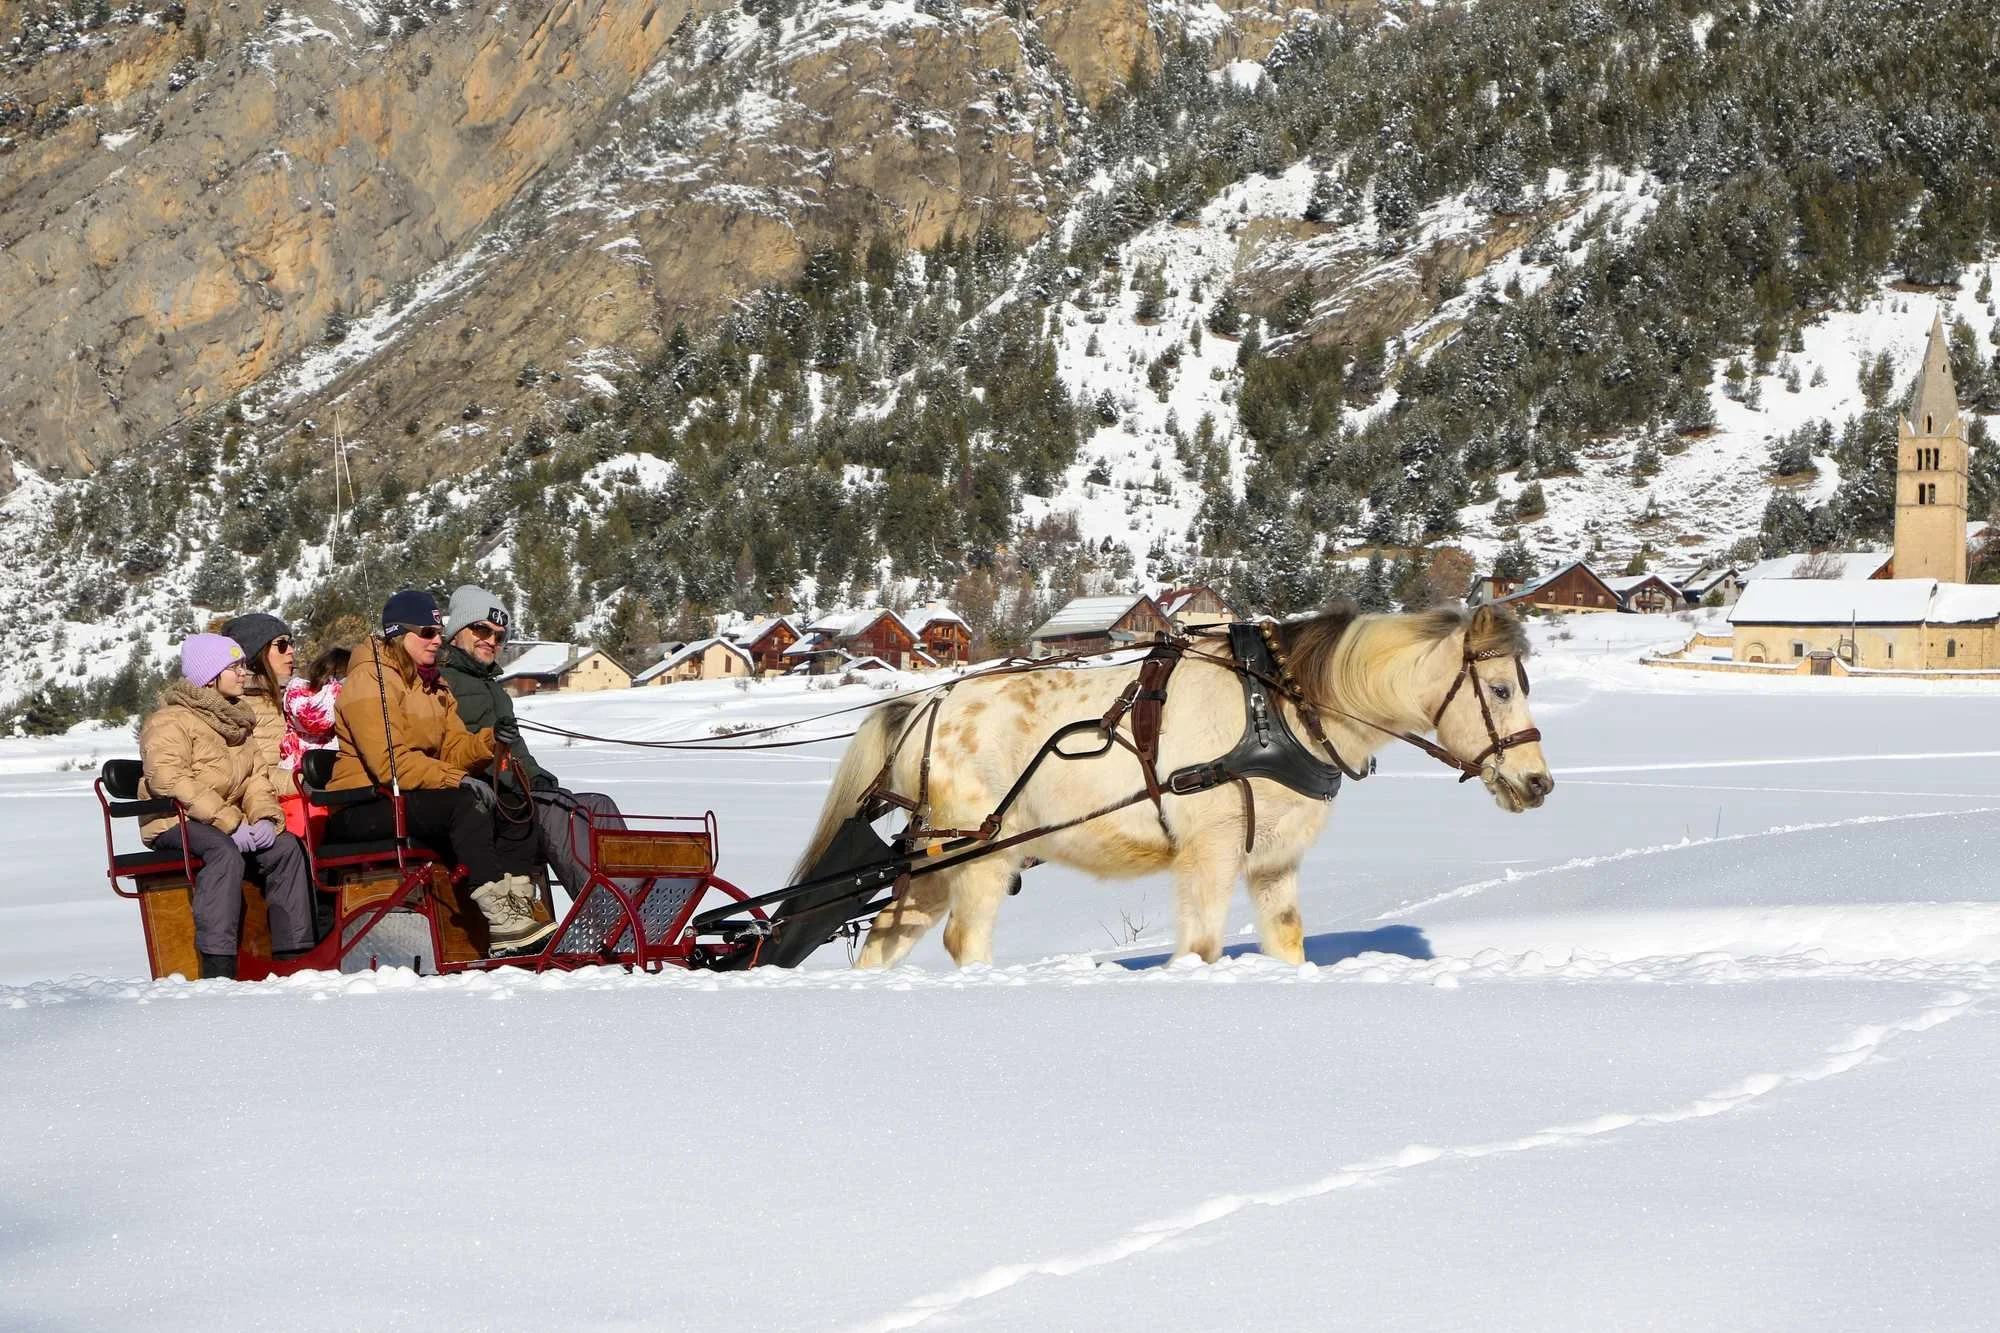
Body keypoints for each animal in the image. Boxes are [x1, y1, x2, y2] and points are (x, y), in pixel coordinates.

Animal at [790, 602, 1553, 968]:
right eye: (1500, 688)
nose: (1538, 781)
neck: (1278, 705)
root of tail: (927, 704)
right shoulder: (1208, 854)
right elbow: (1202, 947)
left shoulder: (1273, 861)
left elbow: (1289, 944)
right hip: (979, 853)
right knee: (963, 943)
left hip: (934, 862)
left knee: (884, 942)